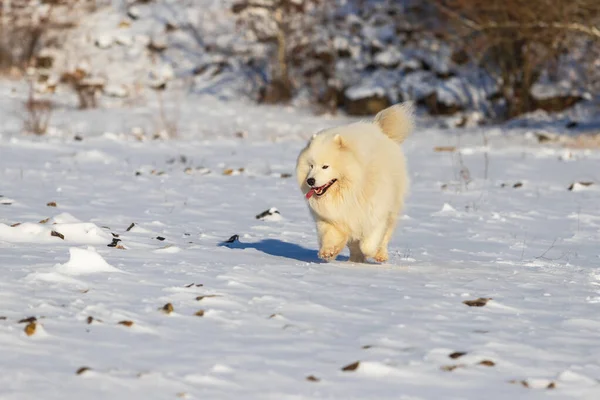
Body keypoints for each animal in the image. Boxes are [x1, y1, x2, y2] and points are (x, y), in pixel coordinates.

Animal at [296, 103, 412, 262]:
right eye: (311, 166)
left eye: (325, 166)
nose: (310, 180)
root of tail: (380, 130)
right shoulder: (330, 217)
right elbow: (330, 235)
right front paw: (328, 252)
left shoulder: (375, 212)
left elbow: (369, 243)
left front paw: (371, 253)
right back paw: (355, 260)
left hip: (392, 209)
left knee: (385, 236)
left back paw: (380, 255)